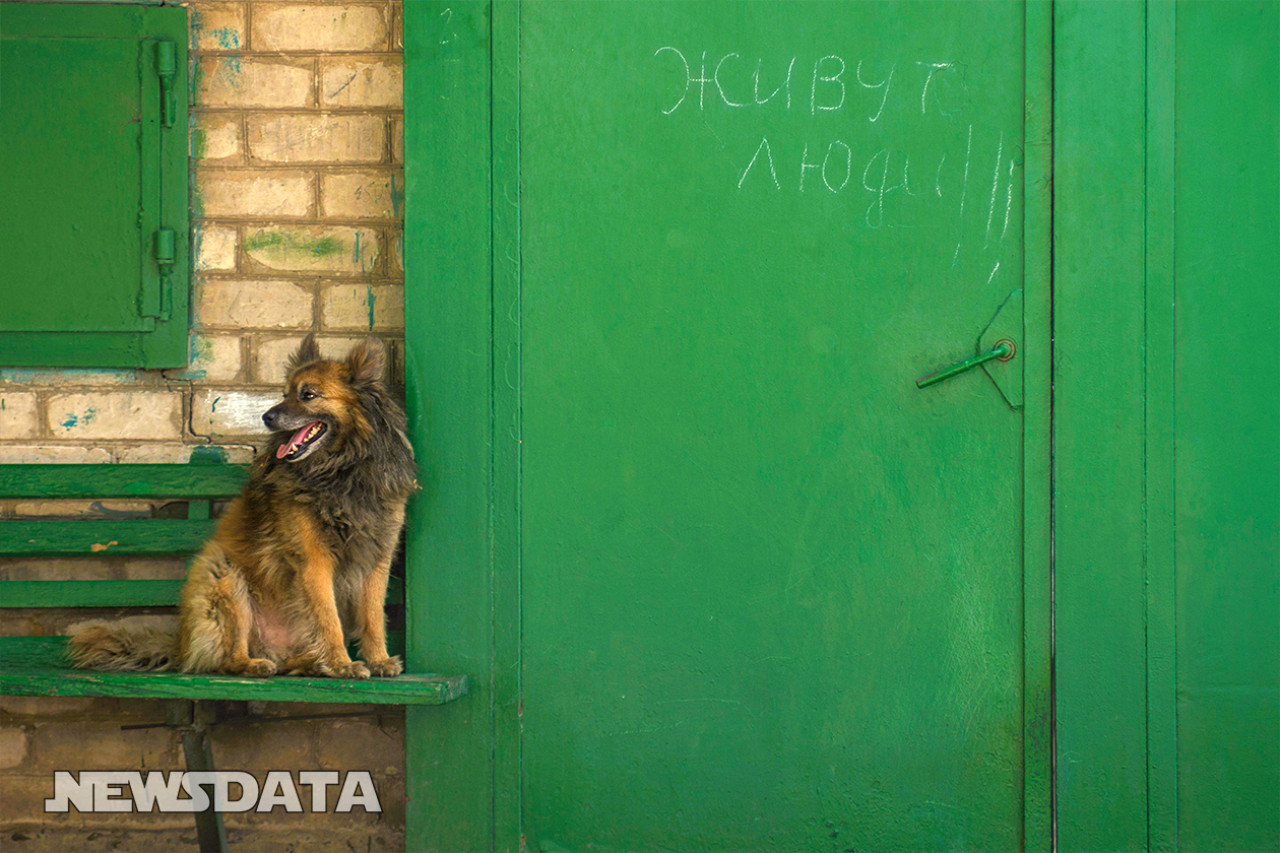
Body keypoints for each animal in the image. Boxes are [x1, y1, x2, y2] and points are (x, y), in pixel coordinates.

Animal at [67, 333, 417, 676]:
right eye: (284, 393)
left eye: (308, 395)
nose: (266, 416)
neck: (343, 470)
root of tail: (181, 645)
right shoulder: (314, 560)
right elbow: (327, 619)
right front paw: (341, 664)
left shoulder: (377, 558)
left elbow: (373, 616)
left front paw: (378, 659)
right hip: (224, 578)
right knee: (228, 658)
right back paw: (255, 664)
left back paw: (307, 663)